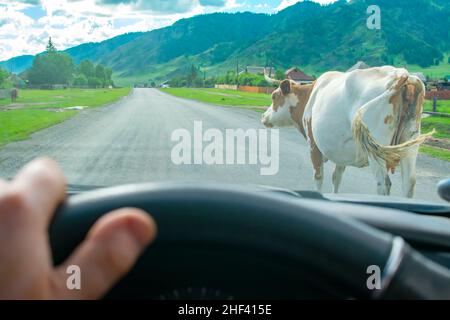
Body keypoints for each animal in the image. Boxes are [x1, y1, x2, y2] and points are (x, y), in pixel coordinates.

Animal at [262, 66, 434, 198]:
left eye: (274, 96)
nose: (264, 116)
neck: (311, 96)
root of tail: (401, 74)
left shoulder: (314, 146)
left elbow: (318, 177)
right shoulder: (340, 152)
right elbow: (336, 178)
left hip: (376, 151)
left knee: (384, 184)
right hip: (409, 145)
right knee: (409, 184)